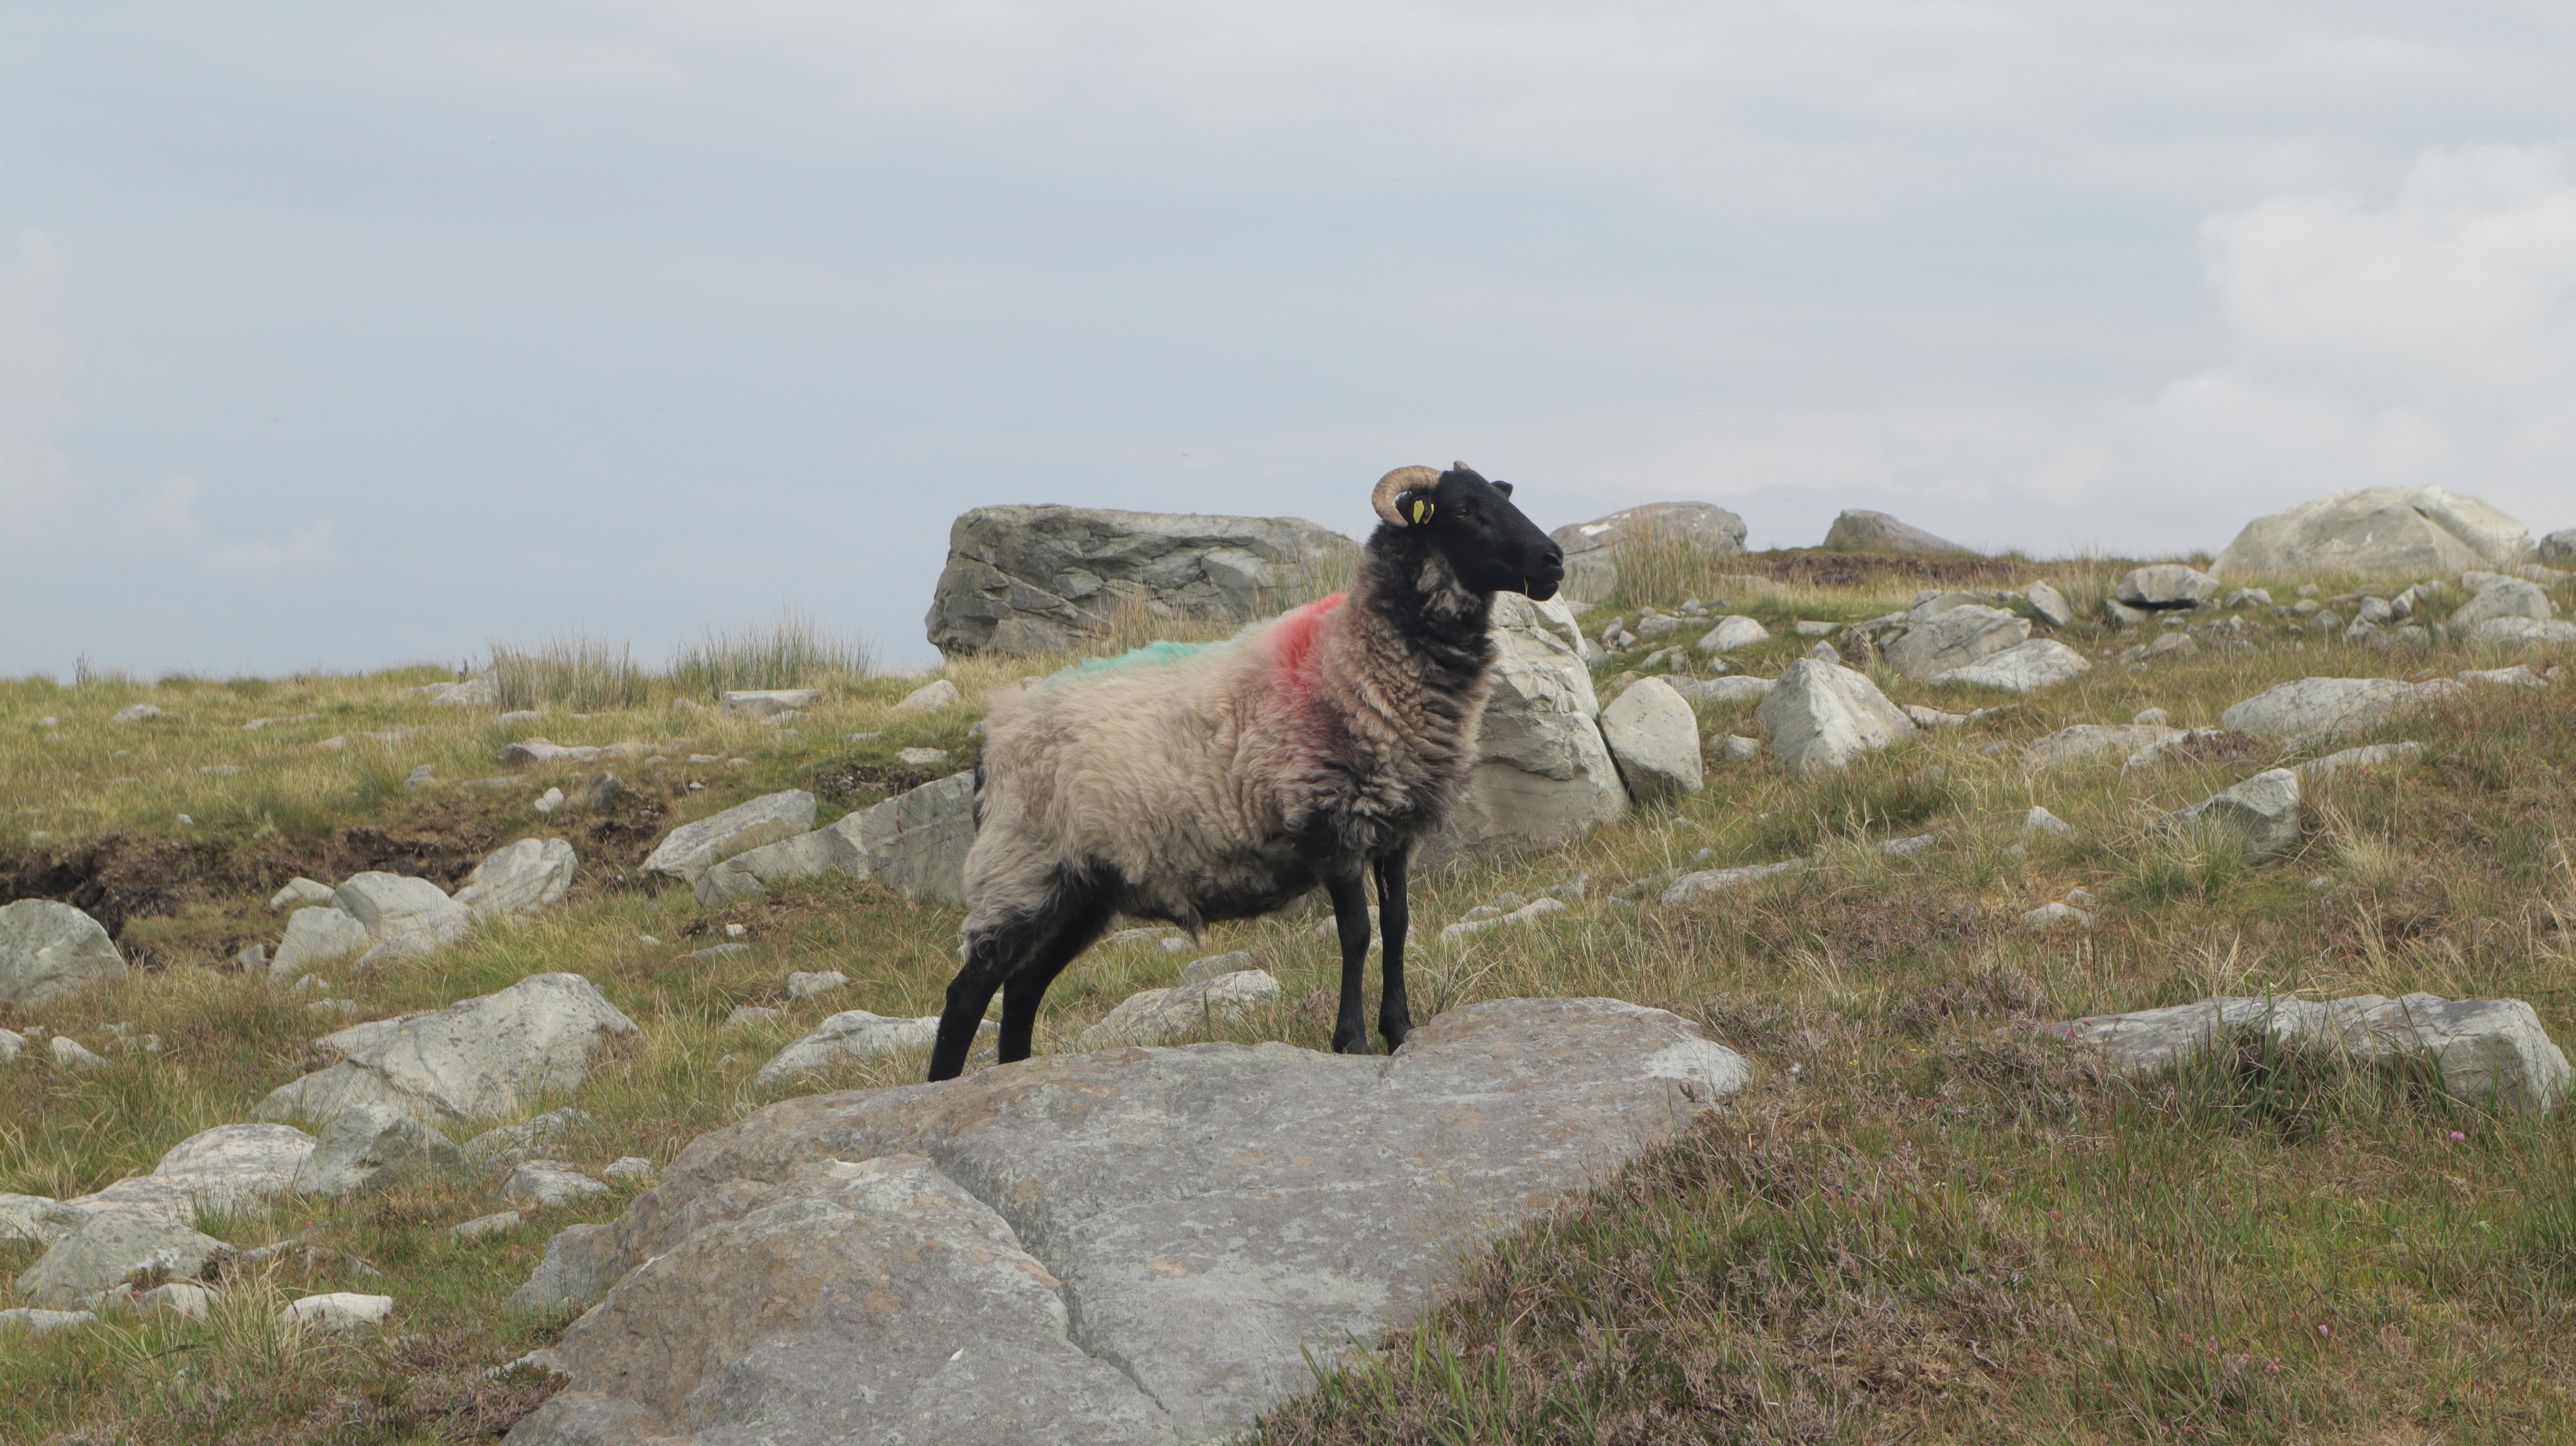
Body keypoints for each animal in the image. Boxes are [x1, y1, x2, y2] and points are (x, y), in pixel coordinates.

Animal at [924, 463, 1568, 1081]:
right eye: (1463, 510)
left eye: (1502, 498)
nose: (1554, 560)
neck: (1356, 658)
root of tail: (994, 737)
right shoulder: (1333, 823)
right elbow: (1357, 934)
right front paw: (1353, 1041)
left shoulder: (1396, 831)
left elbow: (1399, 925)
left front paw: (1401, 1030)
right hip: (1020, 867)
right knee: (967, 992)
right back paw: (946, 1086)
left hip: (1080, 888)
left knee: (1023, 989)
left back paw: (1013, 1074)